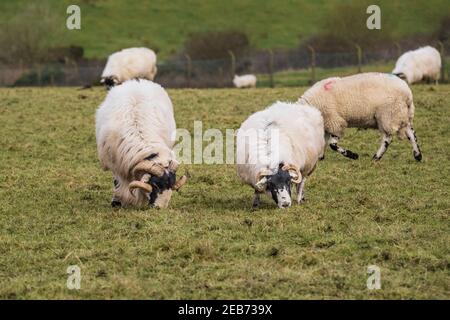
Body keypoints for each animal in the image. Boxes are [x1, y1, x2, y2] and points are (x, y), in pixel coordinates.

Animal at [95, 79, 186, 209]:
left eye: (171, 184)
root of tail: (136, 81)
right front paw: (117, 202)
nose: (160, 208)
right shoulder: (117, 165)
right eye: (155, 185)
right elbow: (117, 182)